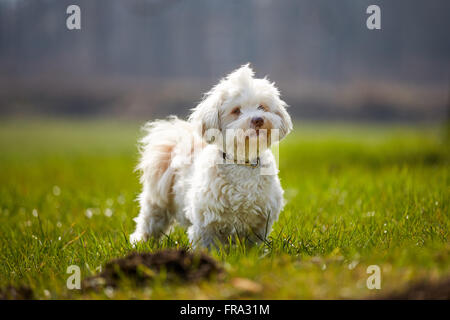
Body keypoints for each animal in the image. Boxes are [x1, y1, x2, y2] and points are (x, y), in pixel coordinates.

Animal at [130, 64, 292, 248]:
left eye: (262, 107)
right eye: (236, 111)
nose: (258, 120)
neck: (241, 162)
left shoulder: (260, 223)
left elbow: (253, 246)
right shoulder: (206, 223)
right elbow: (207, 246)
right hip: (157, 205)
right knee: (147, 224)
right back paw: (139, 242)